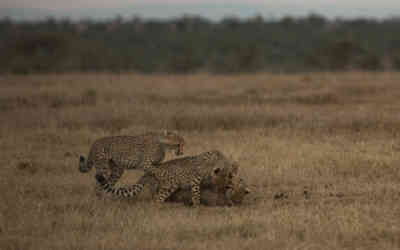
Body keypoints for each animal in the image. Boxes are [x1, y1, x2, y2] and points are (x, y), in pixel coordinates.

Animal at [95, 150, 239, 205]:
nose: (221, 189)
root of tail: (147, 173)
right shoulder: (195, 180)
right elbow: (196, 194)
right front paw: (197, 206)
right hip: (169, 186)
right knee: (156, 200)